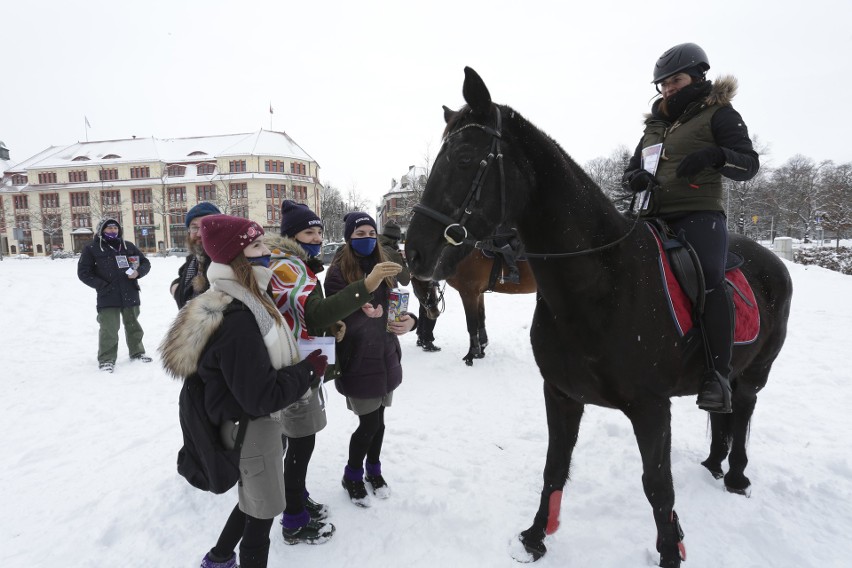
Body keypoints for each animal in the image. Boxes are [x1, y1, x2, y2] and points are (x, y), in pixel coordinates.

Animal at [406, 69, 792, 564]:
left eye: (464, 156)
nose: (414, 251)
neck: (602, 282)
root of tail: (770, 259)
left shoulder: (651, 408)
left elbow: (658, 486)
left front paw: (670, 551)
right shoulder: (562, 394)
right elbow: (554, 467)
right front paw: (536, 536)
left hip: (755, 371)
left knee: (742, 412)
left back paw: (737, 475)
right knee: (725, 419)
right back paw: (713, 462)